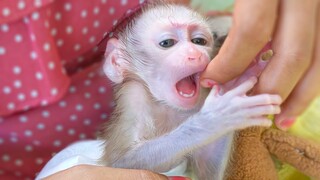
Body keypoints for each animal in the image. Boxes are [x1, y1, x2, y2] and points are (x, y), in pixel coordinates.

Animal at [99, 1, 280, 180]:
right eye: (167, 43)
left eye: (198, 41)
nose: (195, 54)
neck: (167, 107)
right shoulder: (133, 95)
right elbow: (122, 161)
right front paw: (215, 117)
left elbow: (207, 173)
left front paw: (234, 82)